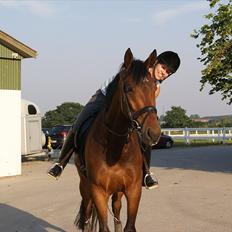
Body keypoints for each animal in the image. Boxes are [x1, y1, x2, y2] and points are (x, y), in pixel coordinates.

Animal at [75, 48, 161, 231]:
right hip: (85, 187)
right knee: (86, 214)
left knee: (116, 210)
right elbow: (103, 226)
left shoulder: (133, 190)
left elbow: (129, 225)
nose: (153, 133)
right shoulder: (98, 191)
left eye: (153, 88)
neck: (115, 147)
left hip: (118, 191)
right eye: (128, 88)